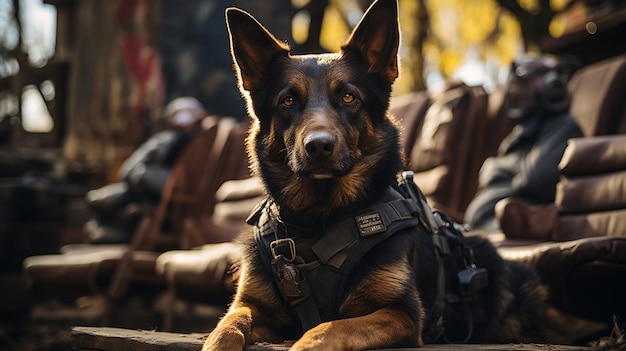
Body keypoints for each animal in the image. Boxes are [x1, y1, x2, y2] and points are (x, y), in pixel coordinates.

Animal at [204, 0, 584, 351]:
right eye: (287, 101)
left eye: (348, 97)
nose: (319, 146)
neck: (320, 218)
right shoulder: (251, 306)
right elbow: (225, 328)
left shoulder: (400, 314)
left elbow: (326, 329)